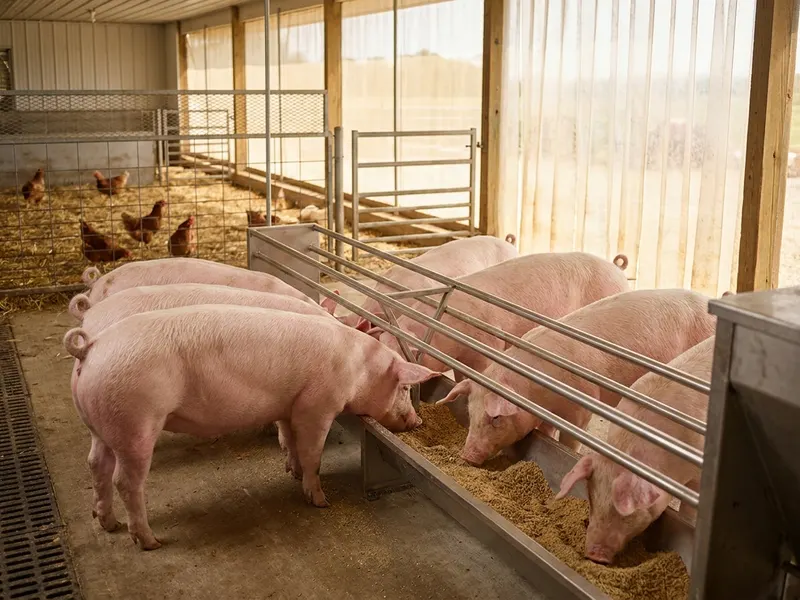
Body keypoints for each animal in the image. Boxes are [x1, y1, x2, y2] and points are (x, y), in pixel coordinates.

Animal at [63, 304, 438, 550]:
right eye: (405, 388)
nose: (417, 421)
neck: (359, 368)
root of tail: (91, 349)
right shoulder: (317, 406)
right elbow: (313, 454)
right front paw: (320, 500)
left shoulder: (289, 405)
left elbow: (290, 440)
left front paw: (292, 471)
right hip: (135, 424)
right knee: (126, 481)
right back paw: (150, 542)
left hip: (101, 426)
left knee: (96, 465)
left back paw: (107, 523)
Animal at [436, 289, 716, 465]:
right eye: (470, 413)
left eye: (495, 418)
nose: (467, 456)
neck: (537, 392)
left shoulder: (581, 408)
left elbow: (572, 439)